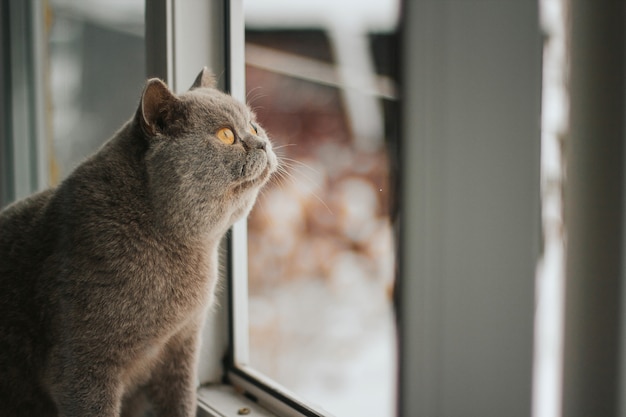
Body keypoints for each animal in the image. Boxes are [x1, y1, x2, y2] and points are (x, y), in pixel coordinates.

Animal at [0, 66, 276, 414]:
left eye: (253, 125)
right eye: (226, 135)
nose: (263, 143)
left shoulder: (181, 347)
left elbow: (181, 402)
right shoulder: (82, 366)